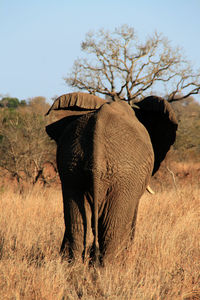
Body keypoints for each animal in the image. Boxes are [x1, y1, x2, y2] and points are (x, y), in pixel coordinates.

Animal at [45, 92, 178, 264]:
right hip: (125, 176)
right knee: (112, 227)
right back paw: (112, 268)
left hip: (71, 166)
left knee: (77, 224)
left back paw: (74, 266)